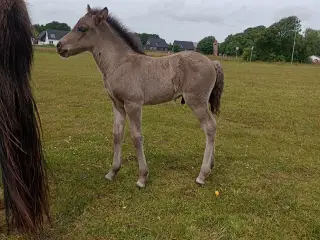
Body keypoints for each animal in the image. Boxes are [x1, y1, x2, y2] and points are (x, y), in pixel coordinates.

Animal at [56, 4, 224, 188]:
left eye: (82, 28)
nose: (59, 45)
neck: (119, 63)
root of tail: (212, 62)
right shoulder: (117, 105)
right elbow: (117, 135)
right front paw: (112, 172)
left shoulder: (133, 104)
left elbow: (137, 137)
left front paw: (142, 177)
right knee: (212, 127)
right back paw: (211, 166)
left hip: (197, 102)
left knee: (210, 127)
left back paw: (202, 174)